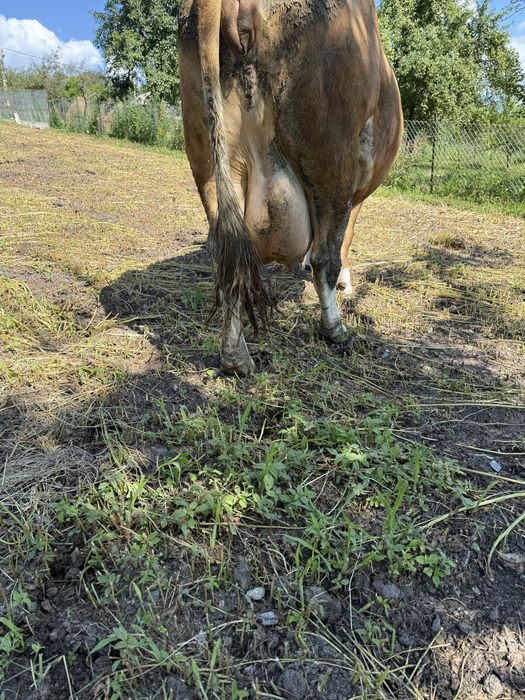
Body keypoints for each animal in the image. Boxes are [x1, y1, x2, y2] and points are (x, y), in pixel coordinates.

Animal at [179, 0, 403, 375]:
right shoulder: (355, 189)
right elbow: (344, 239)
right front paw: (345, 282)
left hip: (208, 157)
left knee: (225, 254)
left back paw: (235, 356)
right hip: (331, 158)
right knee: (324, 255)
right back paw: (335, 331)